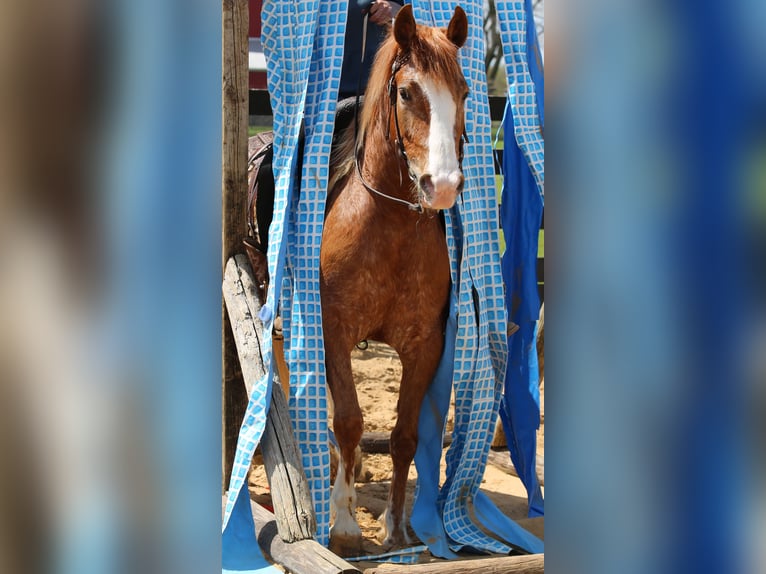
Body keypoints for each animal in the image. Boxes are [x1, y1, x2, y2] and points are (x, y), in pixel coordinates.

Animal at [247, 5, 469, 554]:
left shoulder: (424, 345)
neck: (386, 229)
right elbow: (348, 420)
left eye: (464, 91)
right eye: (406, 92)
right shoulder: (334, 332)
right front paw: (345, 525)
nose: (442, 186)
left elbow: (405, 434)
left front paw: (397, 527)